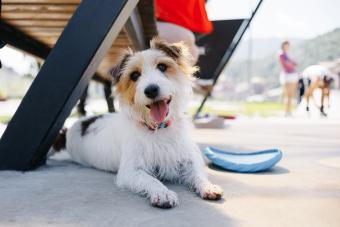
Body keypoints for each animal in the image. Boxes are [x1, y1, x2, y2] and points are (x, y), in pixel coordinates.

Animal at [52, 38, 223, 208]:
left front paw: (208, 186)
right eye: (134, 75)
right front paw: (162, 193)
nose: (151, 90)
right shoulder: (130, 171)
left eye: (162, 66)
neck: (158, 128)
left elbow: (198, 174)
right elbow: (150, 180)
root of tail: (76, 125)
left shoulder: (187, 160)